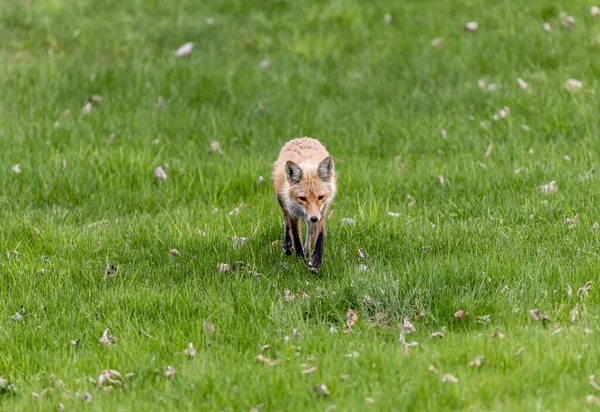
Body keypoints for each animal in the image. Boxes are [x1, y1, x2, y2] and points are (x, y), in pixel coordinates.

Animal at [274, 138, 338, 274]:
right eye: (303, 198)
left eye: (321, 197)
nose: (314, 218)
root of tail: (302, 138)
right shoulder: (293, 212)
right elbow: (296, 237)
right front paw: (300, 259)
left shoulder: (321, 211)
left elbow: (320, 236)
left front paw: (315, 261)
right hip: (281, 199)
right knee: (286, 220)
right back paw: (287, 245)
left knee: (309, 230)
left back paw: (308, 250)